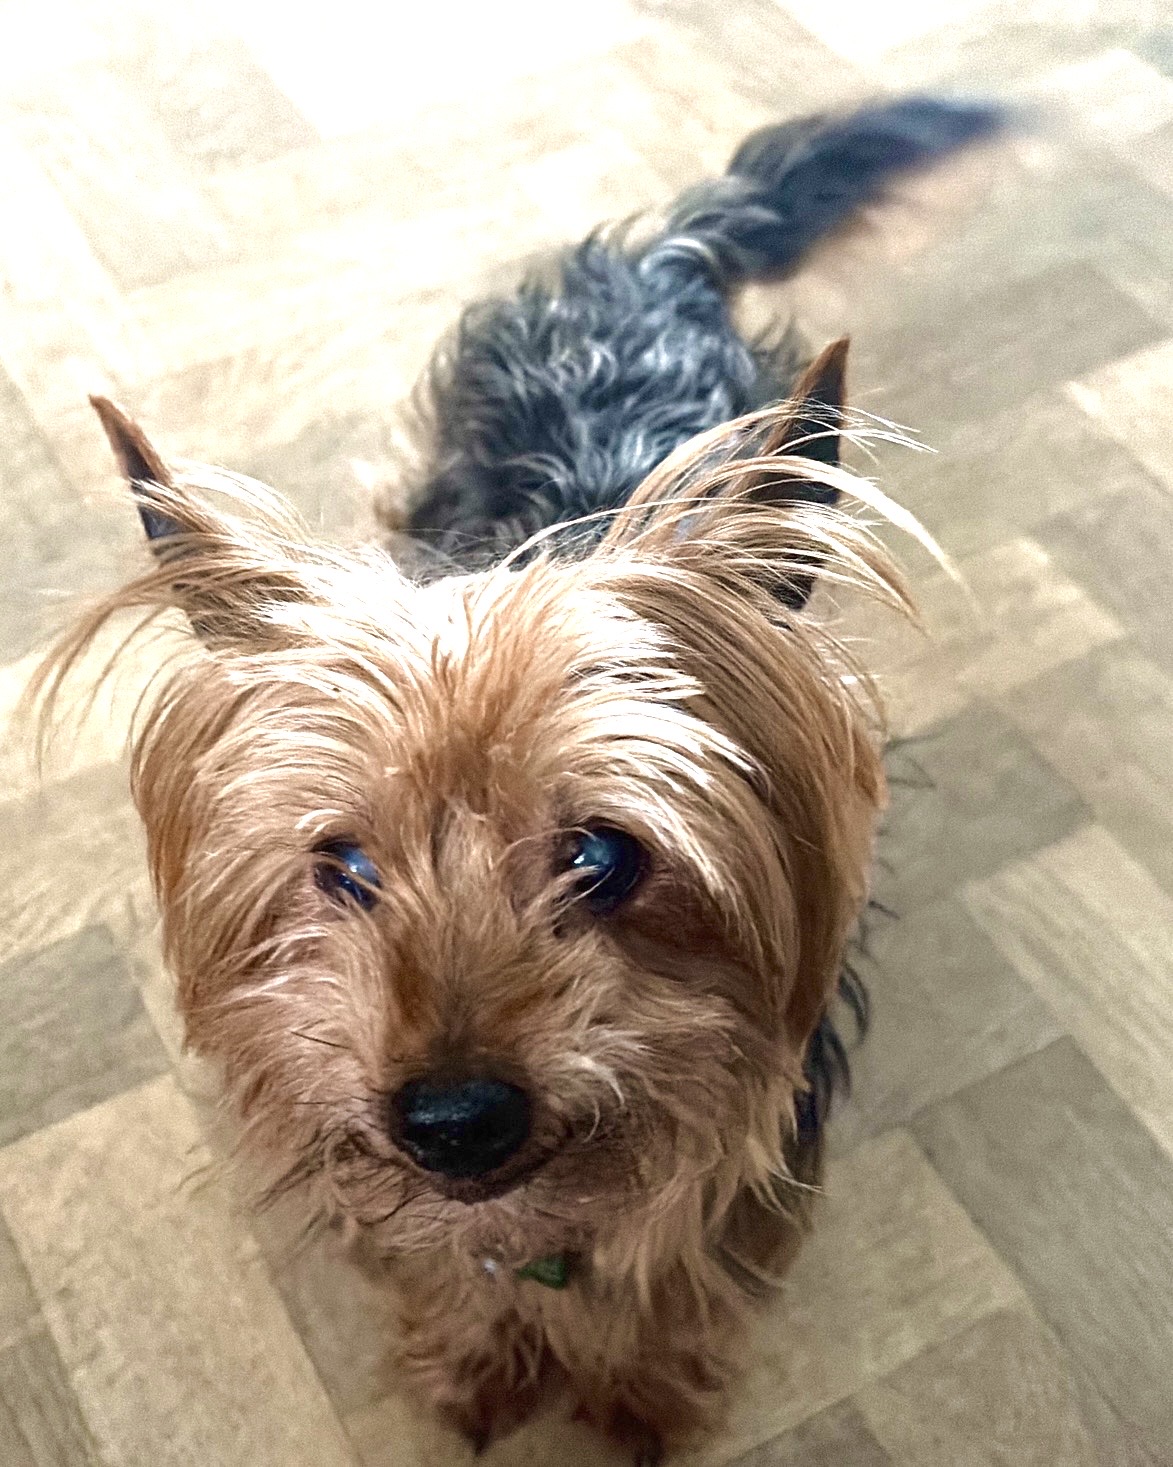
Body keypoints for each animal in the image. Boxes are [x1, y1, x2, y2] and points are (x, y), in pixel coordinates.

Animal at [40, 96, 1004, 1463]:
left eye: (601, 855)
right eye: (344, 865)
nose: (451, 1121)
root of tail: (651, 265)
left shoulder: (743, 1122)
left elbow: (670, 1259)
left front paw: (645, 1389)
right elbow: (452, 1263)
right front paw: (478, 1361)